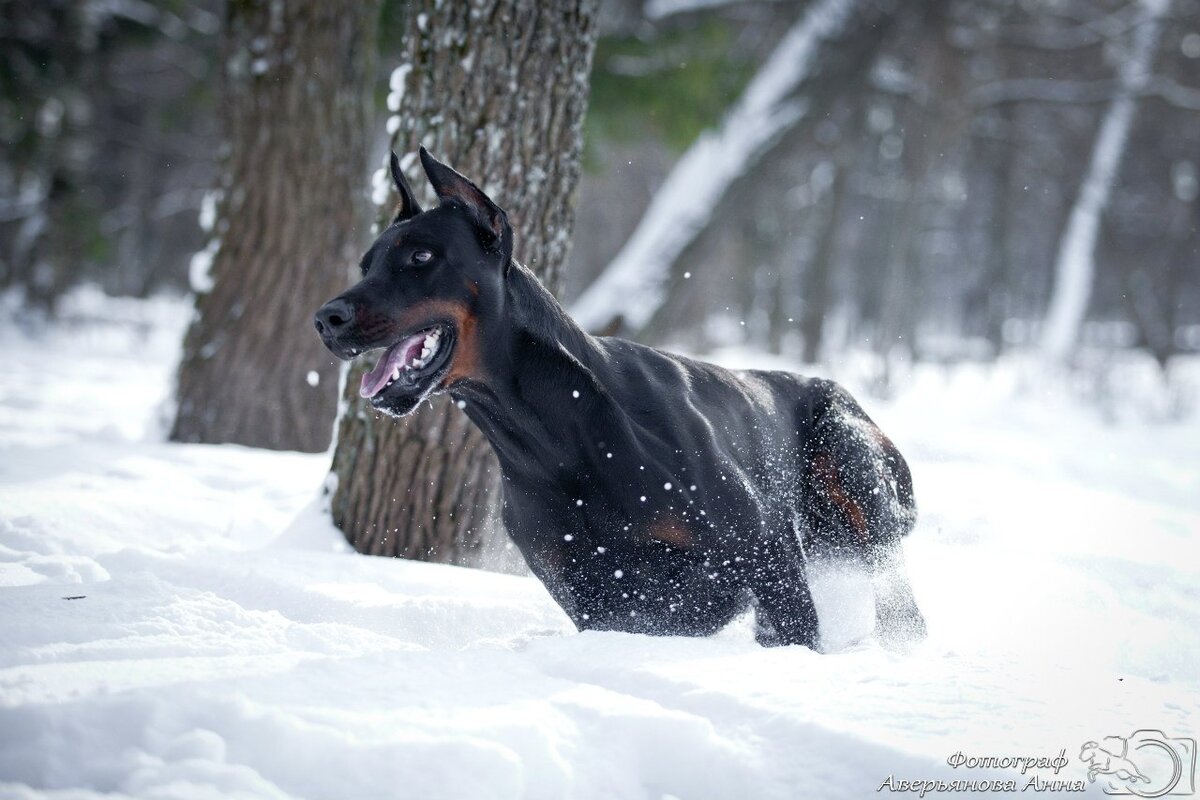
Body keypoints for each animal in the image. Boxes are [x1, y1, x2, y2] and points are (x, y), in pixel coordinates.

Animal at [314, 149, 921, 652]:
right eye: (367, 264)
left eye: (421, 256)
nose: (327, 318)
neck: (551, 436)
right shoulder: (594, 595)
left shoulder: (763, 545)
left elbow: (786, 620)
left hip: (850, 463)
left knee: (898, 597)